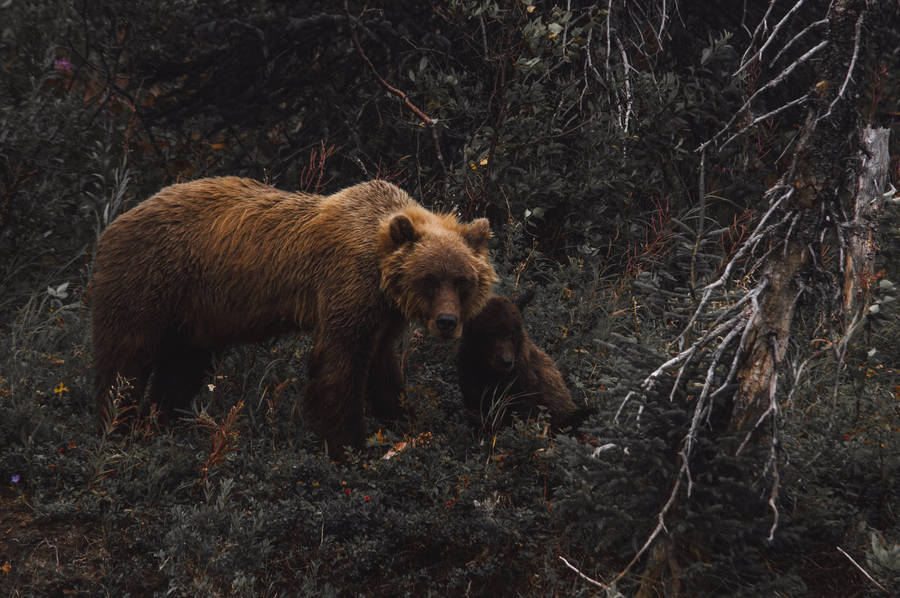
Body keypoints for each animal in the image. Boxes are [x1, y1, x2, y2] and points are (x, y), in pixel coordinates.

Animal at [91, 176, 497, 453]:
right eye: (429, 279)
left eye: (462, 280)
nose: (447, 323)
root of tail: (115, 221)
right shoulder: (346, 284)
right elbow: (338, 362)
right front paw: (349, 446)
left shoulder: (383, 314)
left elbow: (382, 368)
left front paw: (408, 423)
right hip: (150, 279)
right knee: (125, 359)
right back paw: (117, 426)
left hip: (193, 313)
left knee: (182, 367)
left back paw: (161, 424)